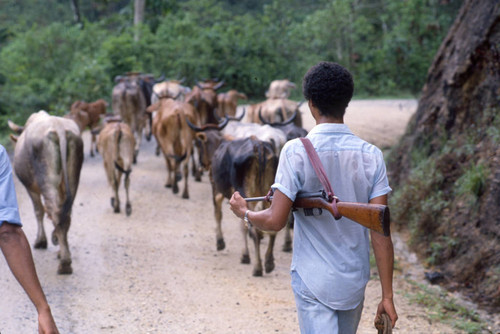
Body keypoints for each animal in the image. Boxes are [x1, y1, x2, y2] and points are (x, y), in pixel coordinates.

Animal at [7, 111, 84, 276]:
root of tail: (59, 127)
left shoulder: (30, 187)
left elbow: (38, 211)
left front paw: (40, 241)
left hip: (47, 181)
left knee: (55, 212)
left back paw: (64, 264)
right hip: (73, 178)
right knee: (64, 215)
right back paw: (63, 253)